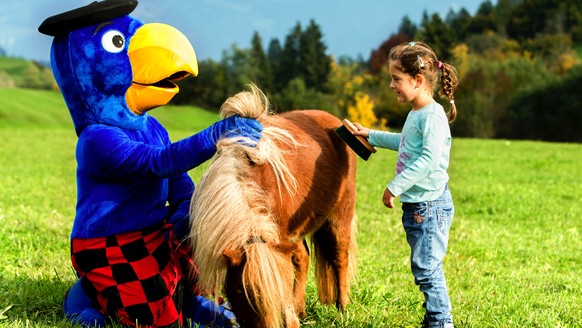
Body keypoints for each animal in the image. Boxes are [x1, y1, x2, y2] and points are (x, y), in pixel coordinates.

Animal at [189, 85, 358, 328]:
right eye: (239, 292)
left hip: (339, 216)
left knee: (339, 258)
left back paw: (342, 308)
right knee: (303, 258)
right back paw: (301, 309)